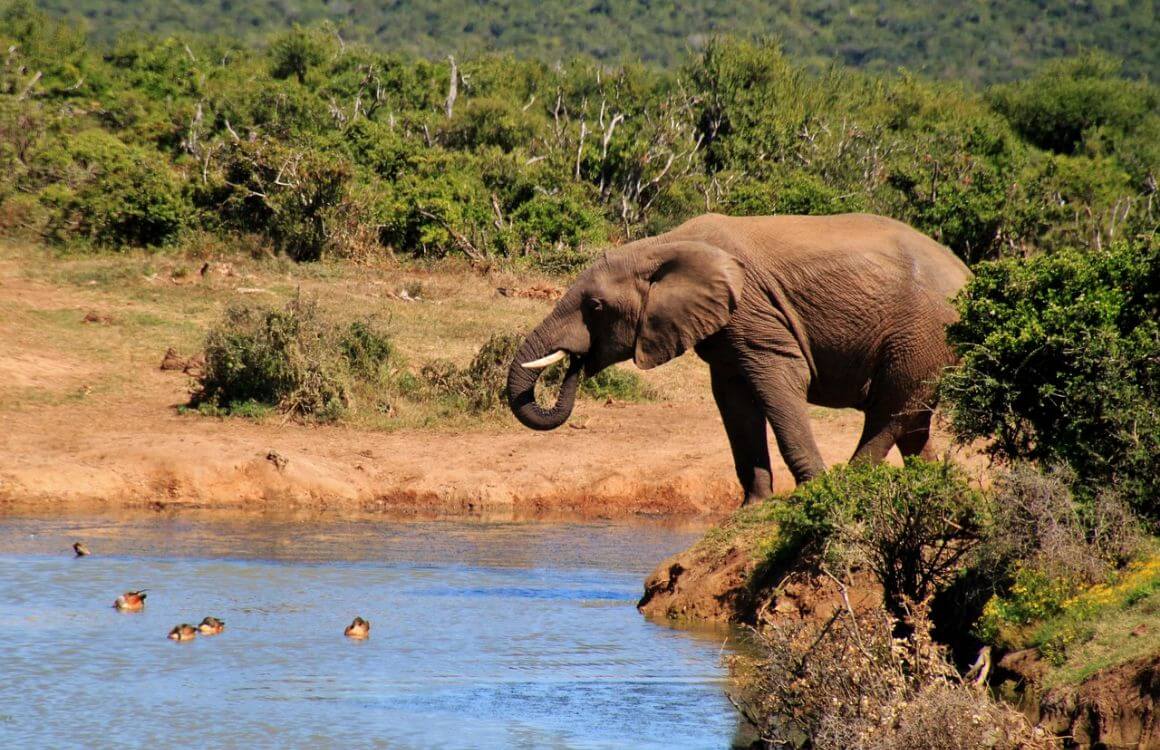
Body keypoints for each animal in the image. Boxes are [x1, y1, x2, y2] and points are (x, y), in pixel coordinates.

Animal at [508, 213, 969, 505]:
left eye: (596, 307)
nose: (576, 362)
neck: (662, 245)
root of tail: (966, 272)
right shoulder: (725, 333)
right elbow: (735, 402)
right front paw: (754, 506)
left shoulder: (754, 312)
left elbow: (779, 382)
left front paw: (813, 493)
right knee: (912, 420)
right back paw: (935, 489)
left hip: (922, 333)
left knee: (890, 411)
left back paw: (847, 484)